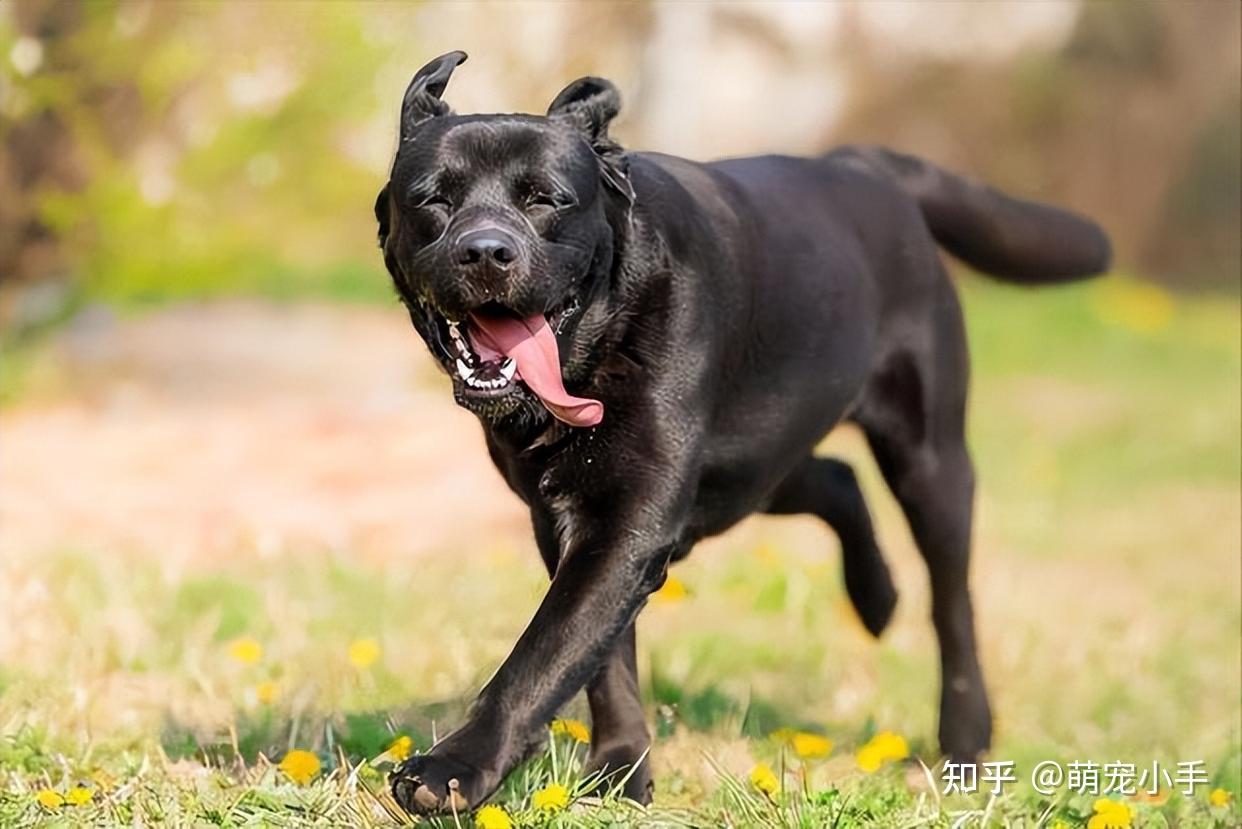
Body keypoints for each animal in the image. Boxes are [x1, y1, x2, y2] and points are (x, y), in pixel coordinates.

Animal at [372, 53, 1112, 815]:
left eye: (546, 199)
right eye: (433, 199)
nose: (486, 252)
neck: (598, 346)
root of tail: (861, 163)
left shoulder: (631, 521)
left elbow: (544, 653)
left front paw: (453, 769)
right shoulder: (574, 520)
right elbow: (601, 657)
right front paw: (622, 770)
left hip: (927, 460)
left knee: (951, 602)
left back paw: (963, 737)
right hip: (751, 470)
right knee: (835, 479)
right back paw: (875, 597)